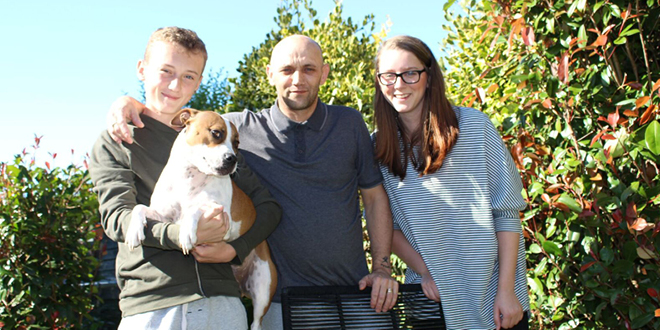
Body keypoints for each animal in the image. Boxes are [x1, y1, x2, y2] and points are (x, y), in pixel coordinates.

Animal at [127, 108, 278, 330]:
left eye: (237, 143)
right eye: (216, 133)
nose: (233, 159)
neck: (190, 178)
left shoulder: (223, 218)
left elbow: (195, 208)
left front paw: (187, 233)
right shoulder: (163, 215)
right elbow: (139, 208)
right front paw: (133, 231)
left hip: (263, 288)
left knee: (256, 323)